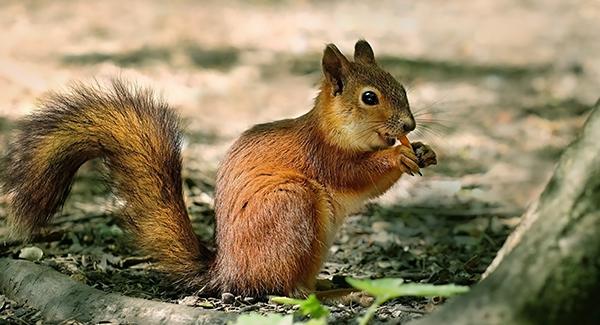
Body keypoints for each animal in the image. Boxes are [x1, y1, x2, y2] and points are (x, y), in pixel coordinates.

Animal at [0, 41, 436, 298]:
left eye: (402, 87)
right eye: (369, 97)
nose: (410, 126)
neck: (333, 128)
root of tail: (226, 273)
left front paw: (424, 152)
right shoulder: (323, 156)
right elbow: (355, 175)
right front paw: (398, 157)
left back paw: (330, 283)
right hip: (291, 206)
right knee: (285, 290)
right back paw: (337, 292)